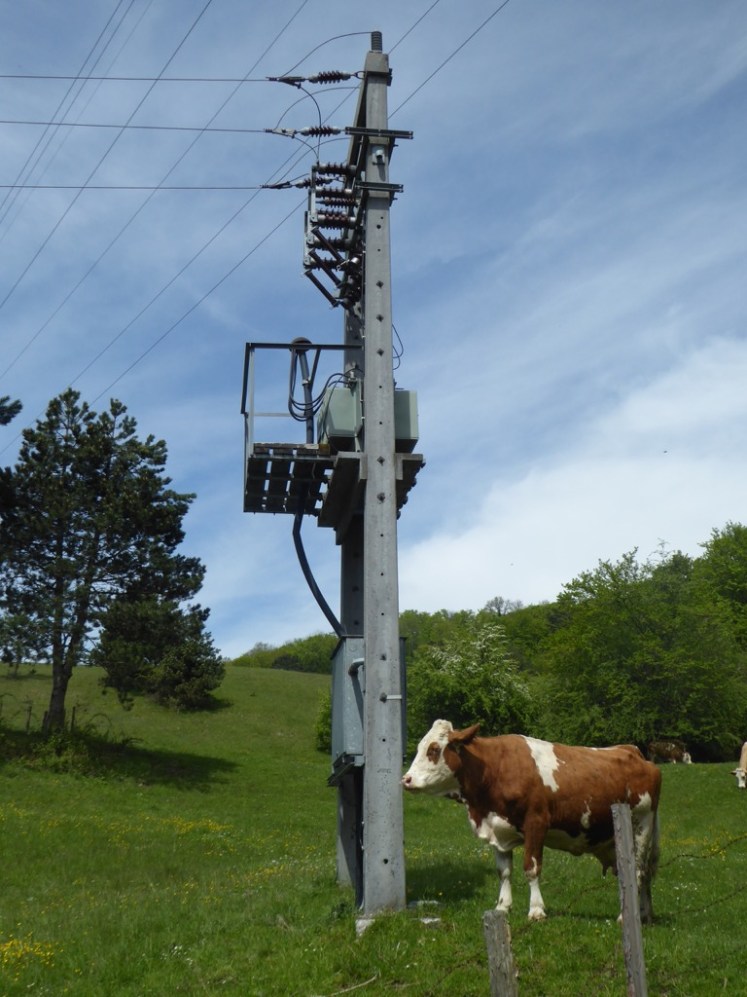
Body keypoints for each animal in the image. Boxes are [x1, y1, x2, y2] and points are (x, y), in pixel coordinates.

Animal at [402, 720, 662, 923]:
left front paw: (536, 910)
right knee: (641, 873)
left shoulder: (536, 823)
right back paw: (644, 914)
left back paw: (626, 916)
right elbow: (504, 871)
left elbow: (531, 867)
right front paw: (502, 907)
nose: (406, 779)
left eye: (434, 749)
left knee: (638, 871)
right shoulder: (499, 830)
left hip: (642, 824)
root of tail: (634, 752)